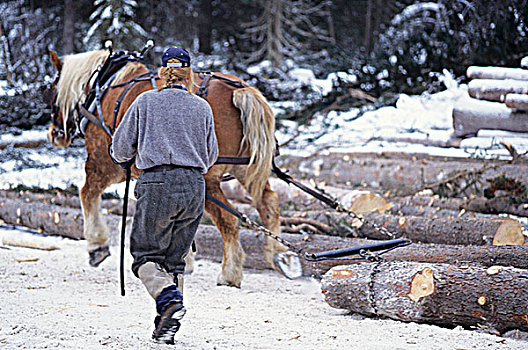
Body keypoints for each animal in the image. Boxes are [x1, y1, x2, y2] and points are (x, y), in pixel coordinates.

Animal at [44, 49, 302, 288]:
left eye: (53, 90)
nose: (54, 133)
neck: (104, 87)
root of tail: (240, 91)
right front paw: (184, 261)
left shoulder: (103, 163)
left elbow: (87, 193)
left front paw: (97, 246)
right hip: (247, 170)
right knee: (268, 203)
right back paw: (281, 255)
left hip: (208, 180)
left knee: (229, 219)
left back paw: (230, 274)